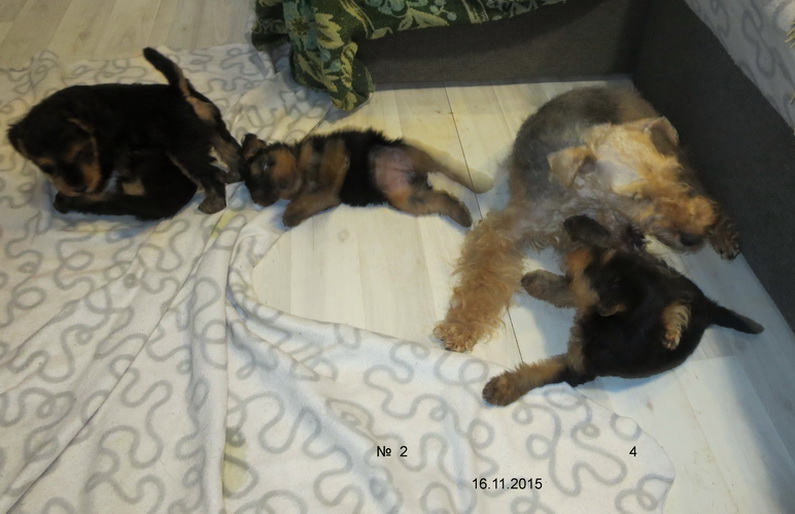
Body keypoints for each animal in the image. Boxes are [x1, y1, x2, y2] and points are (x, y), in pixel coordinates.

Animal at [7, 47, 242, 219]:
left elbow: (98, 182)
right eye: (46, 167)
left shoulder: (103, 157)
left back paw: (214, 203)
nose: (78, 188)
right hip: (211, 128)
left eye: (82, 153)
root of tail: (179, 92)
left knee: (210, 174)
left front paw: (74, 197)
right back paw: (233, 174)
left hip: (183, 149)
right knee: (230, 150)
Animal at [240, 129, 491, 227]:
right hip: (409, 200)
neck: (301, 171)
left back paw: (479, 184)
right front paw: (291, 214)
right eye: (255, 193)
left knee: (448, 168)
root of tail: (414, 174)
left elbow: (328, 173)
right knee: (442, 199)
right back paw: (463, 215)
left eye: (267, 165)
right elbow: (309, 200)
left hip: (415, 153)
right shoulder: (327, 196)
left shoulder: (332, 150)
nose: (262, 197)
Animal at [434, 86, 740, 352]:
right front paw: (460, 328)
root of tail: (618, 88)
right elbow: (481, 280)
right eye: (636, 196)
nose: (693, 237)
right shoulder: (504, 231)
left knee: (705, 193)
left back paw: (724, 237)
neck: (580, 201)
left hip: (676, 153)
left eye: (671, 175)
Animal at [482, 215, 763, 406]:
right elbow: (576, 290)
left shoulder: (580, 366)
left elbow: (543, 371)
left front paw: (503, 387)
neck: (618, 323)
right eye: (598, 260)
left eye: (592, 270)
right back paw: (578, 228)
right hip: (661, 271)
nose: (573, 251)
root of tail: (706, 307)